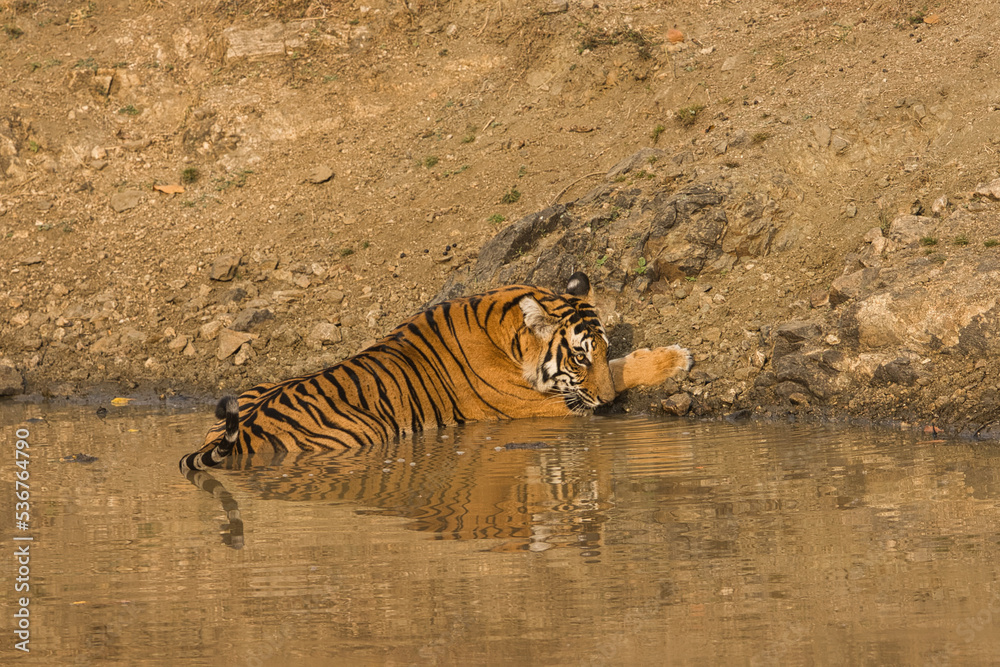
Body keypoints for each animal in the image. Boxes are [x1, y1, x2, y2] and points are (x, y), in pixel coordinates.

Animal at [178, 272, 692, 472]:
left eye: (599, 350)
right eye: (581, 358)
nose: (606, 403)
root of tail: (243, 430)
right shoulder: (546, 406)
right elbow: (622, 373)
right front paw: (677, 357)